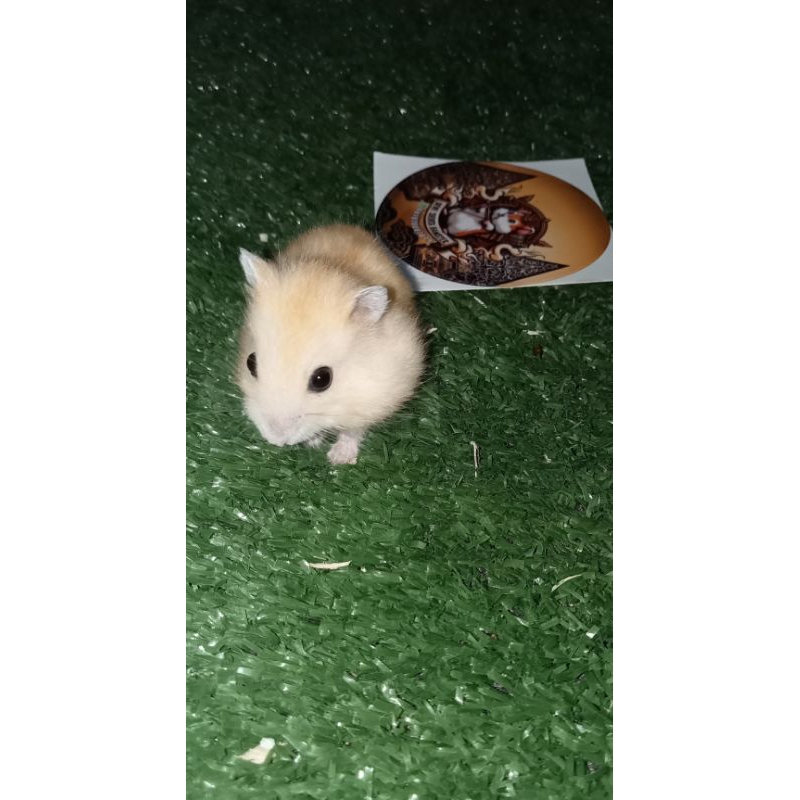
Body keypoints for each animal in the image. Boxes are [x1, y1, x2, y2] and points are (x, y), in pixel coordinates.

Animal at [237, 225, 425, 465]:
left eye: (322, 379)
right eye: (250, 363)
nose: (276, 440)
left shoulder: (370, 400)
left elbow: (353, 431)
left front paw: (337, 459)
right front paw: (313, 442)